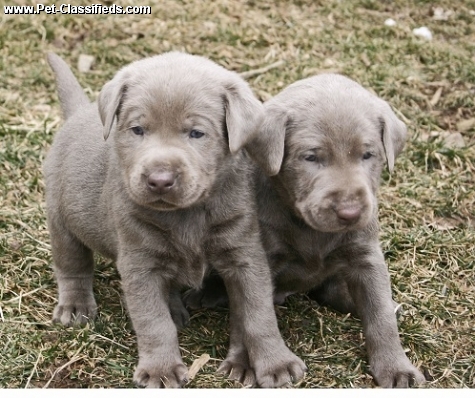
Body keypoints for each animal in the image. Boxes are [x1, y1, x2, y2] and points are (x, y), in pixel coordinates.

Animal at [43, 51, 304, 388]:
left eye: (196, 133)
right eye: (137, 129)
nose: (159, 180)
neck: (187, 214)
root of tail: (79, 112)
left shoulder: (244, 255)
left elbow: (258, 314)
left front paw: (276, 362)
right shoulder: (139, 263)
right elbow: (153, 322)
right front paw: (161, 369)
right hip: (60, 217)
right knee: (72, 266)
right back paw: (75, 306)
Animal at [186, 73, 428, 388]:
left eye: (368, 155)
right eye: (311, 157)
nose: (350, 212)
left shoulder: (366, 257)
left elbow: (380, 316)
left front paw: (396, 367)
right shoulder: (255, 261)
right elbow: (247, 314)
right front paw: (243, 362)